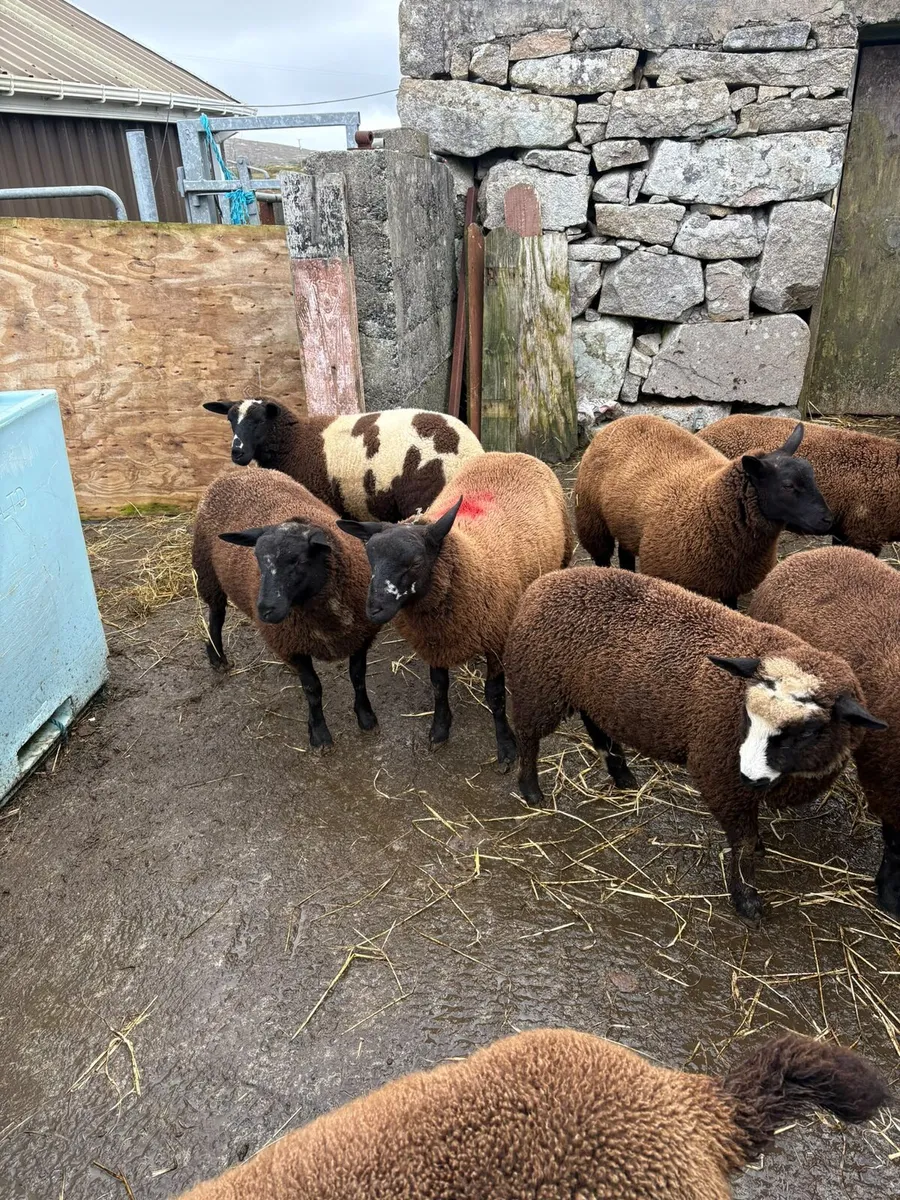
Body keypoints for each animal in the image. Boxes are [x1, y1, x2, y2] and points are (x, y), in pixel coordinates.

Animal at [192, 468, 380, 750]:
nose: (265, 610)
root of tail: (235, 472)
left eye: (299, 561)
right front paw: (319, 733)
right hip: (208, 573)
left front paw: (366, 717)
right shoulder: (293, 644)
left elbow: (358, 677)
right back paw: (217, 657)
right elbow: (313, 689)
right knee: (216, 615)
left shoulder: (360, 636)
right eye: (257, 559)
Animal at [336, 452, 573, 769]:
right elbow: (438, 686)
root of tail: (511, 453)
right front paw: (439, 729)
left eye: (415, 563)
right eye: (370, 560)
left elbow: (495, 696)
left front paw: (506, 747)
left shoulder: (496, 638)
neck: (471, 555)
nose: (374, 609)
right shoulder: (436, 641)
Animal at [504, 567, 886, 920]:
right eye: (747, 713)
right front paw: (746, 898)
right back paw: (531, 790)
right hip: (538, 684)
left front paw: (758, 855)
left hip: (589, 692)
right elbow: (743, 841)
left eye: (808, 732)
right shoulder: (719, 774)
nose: (749, 776)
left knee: (596, 726)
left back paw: (623, 776)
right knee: (527, 736)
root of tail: (547, 580)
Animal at [573, 414, 832, 606]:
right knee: (602, 556)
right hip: (591, 519)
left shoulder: (730, 583)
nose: (828, 520)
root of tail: (624, 419)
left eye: (812, 476)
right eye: (788, 485)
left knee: (626, 553)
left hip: (626, 523)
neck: (708, 505)